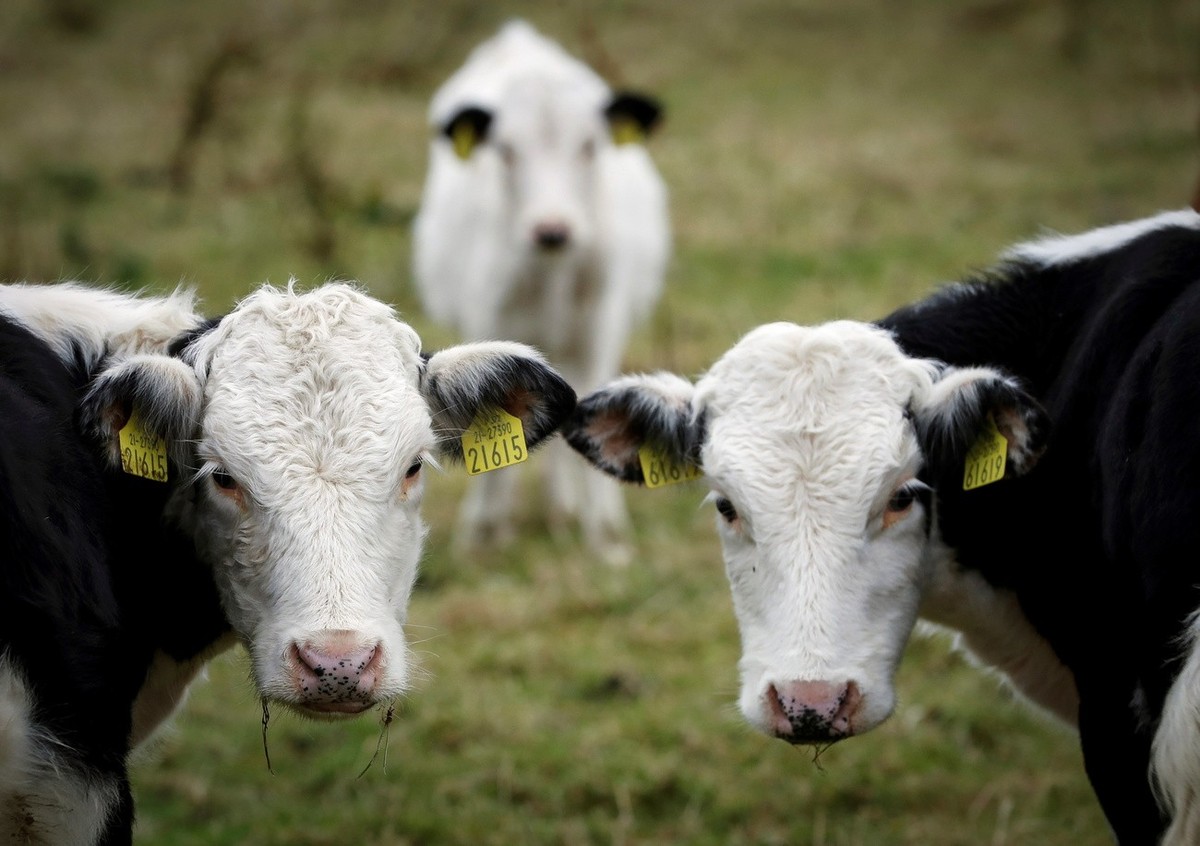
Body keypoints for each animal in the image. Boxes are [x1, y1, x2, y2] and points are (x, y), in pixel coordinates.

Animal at [411, 18, 671, 566]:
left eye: (590, 146)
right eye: (506, 151)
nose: (552, 229)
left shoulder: (599, 330)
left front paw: (605, 537)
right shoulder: (490, 324)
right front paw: (485, 534)